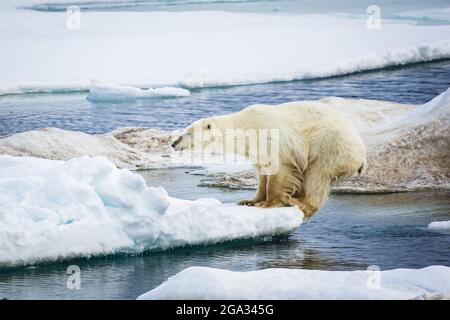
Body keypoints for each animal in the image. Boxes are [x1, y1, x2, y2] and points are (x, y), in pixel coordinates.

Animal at [172, 100, 366, 218]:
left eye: (186, 133)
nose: (173, 143)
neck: (245, 128)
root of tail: (361, 153)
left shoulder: (273, 141)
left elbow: (278, 172)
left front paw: (268, 203)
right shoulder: (256, 150)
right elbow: (262, 174)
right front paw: (249, 201)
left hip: (330, 144)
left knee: (317, 174)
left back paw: (297, 201)